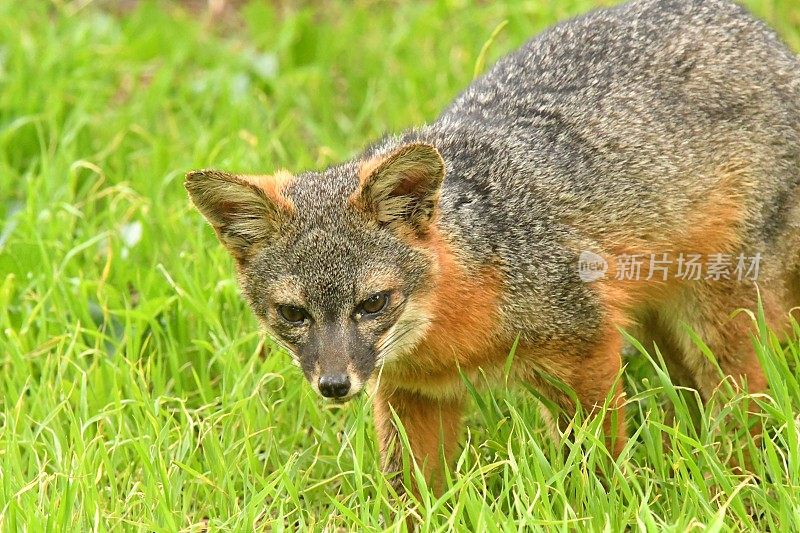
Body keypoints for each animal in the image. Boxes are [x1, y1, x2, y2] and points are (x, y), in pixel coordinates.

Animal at [186, 0, 800, 490]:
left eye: (372, 303)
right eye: (292, 313)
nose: (334, 386)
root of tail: (767, 38)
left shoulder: (586, 351)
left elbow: (596, 464)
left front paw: (603, 504)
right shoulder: (413, 395)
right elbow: (412, 496)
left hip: (719, 326)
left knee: (749, 411)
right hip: (661, 324)